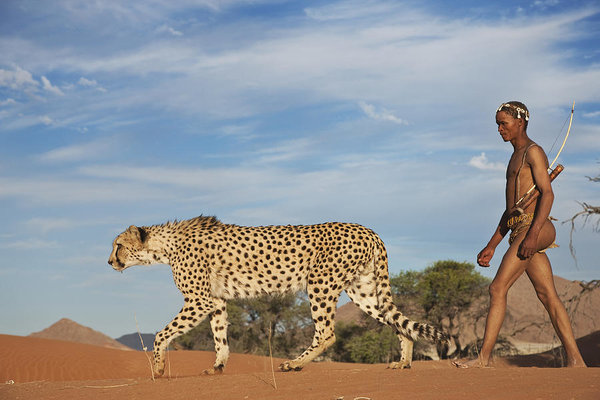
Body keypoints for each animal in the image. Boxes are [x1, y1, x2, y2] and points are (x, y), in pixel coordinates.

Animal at [108, 216, 448, 376]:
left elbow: (161, 334)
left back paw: (293, 364)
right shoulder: (215, 301)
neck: (165, 246)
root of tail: (368, 230)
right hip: (362, 291)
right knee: (398, 321)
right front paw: (218, 367)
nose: (110, 262)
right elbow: (220, 337)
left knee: (326, 333)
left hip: (320, 283)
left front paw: (158, 369)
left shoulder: (199, 301)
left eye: (118, 245)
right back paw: (403, 362)